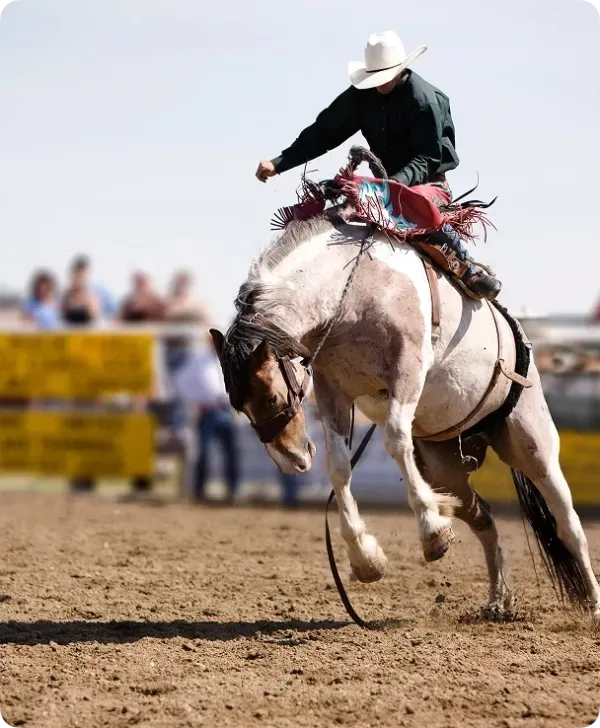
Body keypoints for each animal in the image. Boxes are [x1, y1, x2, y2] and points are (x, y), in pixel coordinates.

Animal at [210, 183, 600, 619]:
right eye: (238, 405)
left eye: (273, 395)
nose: (291, 460)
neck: (353, 289)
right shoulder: (332, 388)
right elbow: (338, 465)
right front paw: (366, 558)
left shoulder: (407, 368)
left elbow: (396, 438)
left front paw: (432, 530)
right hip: (446, 466)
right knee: (483, 517)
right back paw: (497, 599)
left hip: (532, 445)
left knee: (569, 525)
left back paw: (593, 604)